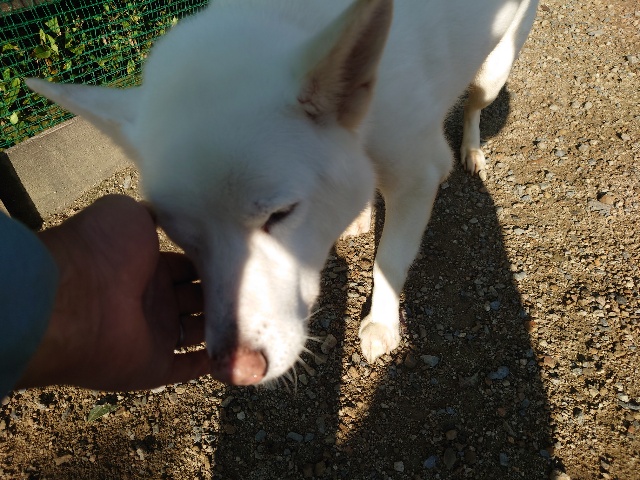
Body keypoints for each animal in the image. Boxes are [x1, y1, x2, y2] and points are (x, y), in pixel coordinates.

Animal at [27, 0, 538, 385]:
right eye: (181, 236)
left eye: (281, 213)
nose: (238, 372)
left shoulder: (418, 173)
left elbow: (390, 262)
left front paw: (381, 326)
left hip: (494, 70)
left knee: (474, 104)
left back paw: (472, 151)